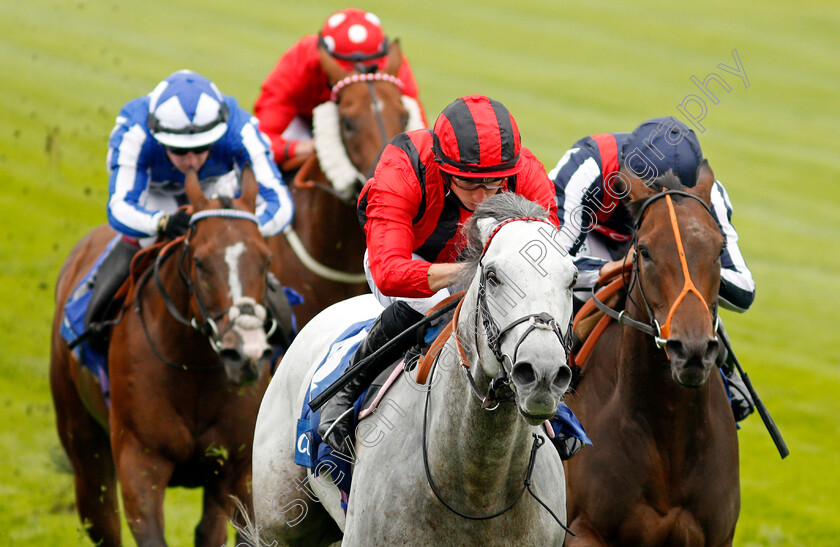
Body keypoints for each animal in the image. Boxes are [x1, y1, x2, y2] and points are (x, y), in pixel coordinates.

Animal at [50, 168, 274, 547]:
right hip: (82, 441)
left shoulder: (238, 469)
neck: (195, 367)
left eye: (266, 259)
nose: (246, 354)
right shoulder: (140, 462)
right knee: (103, 521)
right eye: (200, 262)